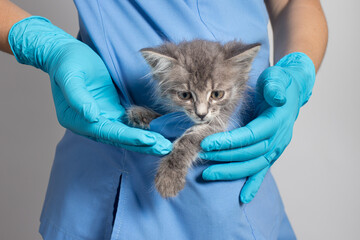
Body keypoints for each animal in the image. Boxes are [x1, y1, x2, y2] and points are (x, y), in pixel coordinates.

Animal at [128, 39, 260, 197]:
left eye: (217, 94)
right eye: (185, 95)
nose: (201, 114)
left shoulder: (223, 123)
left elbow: (188, 139)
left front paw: (169, 176)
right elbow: (166, 119)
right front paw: (143, 114)